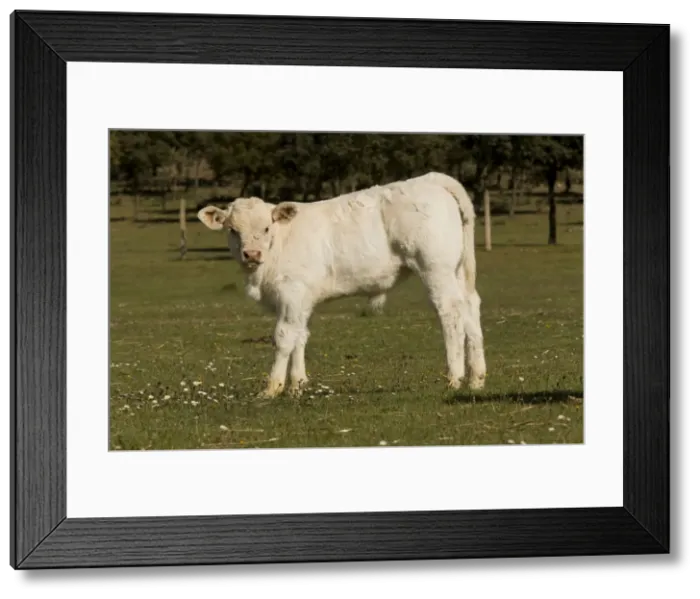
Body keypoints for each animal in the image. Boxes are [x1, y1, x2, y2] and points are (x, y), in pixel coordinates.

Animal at [197, 171, 486, 399]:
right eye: (233, 230)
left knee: (450, 314)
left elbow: (283, 338)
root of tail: (431, 179)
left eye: (267, 228)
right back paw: (476, 379)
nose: (252, 254)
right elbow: (300, 336)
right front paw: (297, 385)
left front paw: (273, 388)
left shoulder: (292, 294)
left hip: (436, 269)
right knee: (470, 307)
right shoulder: (301, 301)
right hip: (456, 270)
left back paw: (454, 378)